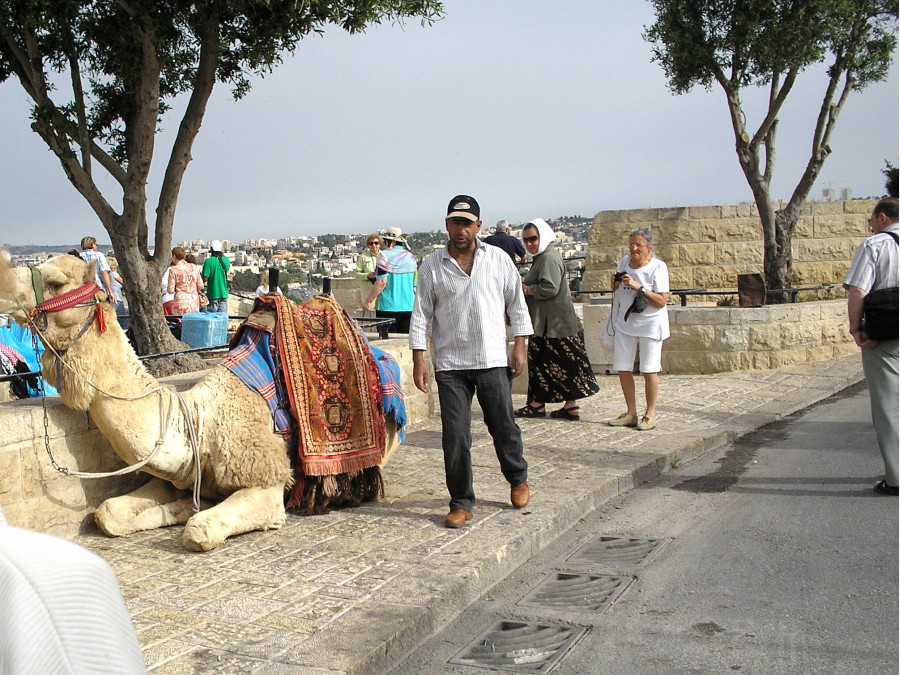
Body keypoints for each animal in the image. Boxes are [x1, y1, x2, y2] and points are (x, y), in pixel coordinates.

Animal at [0, 256, 392, 552]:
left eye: (54, 281)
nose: (4, 280)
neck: (199, 424)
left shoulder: (266, 480)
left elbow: (199, 530)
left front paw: (190, 513)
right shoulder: (178, 474)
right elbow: (107, 512)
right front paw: (180, 506)